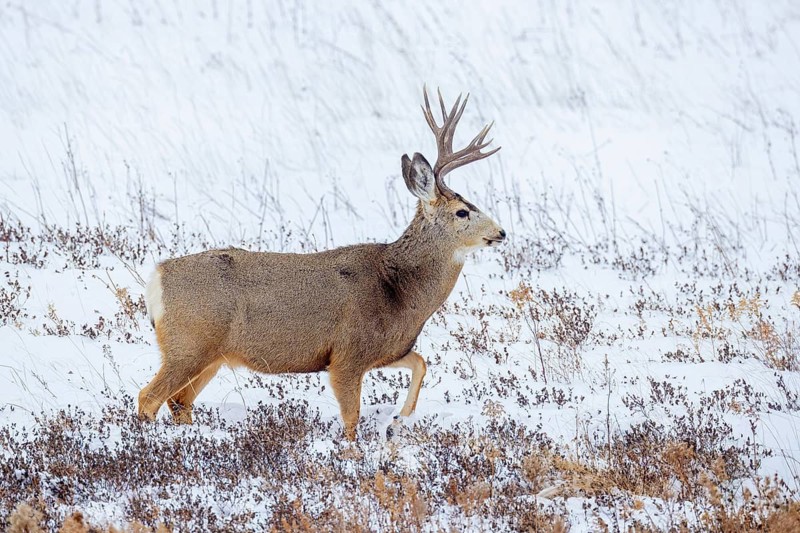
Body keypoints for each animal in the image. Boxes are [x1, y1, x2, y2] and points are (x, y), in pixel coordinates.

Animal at [139, 87, 506, 440]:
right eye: (463, 211)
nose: (501, 232)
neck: (398, 291)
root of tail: (157, 277)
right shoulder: (347, 353)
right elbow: (351, 418)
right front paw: (355, 452)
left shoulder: (387, 350)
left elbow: (421, 363)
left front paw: (397, 422)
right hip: (189, 343)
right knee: (149, 397)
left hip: (211, 355)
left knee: (179, 401)